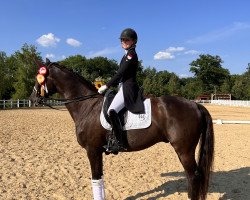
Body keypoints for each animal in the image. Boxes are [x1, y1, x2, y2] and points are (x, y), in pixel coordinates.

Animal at [28, 59, 213, 200]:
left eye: (40, 78)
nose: (32, 99)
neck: (87, 106)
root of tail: (195, 104)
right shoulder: (97, 150)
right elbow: (100, 178)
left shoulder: (92, 150)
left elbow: (96, 179)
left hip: (184, 150)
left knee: (193, 177)